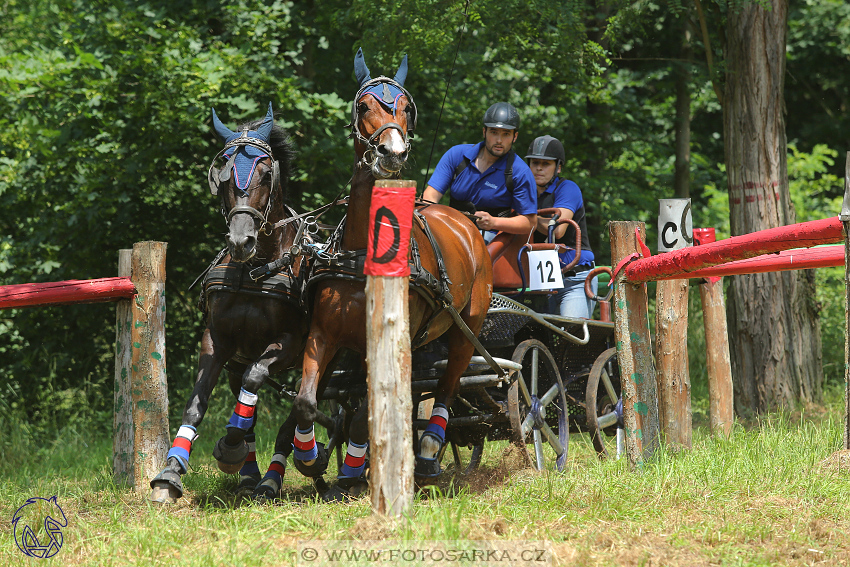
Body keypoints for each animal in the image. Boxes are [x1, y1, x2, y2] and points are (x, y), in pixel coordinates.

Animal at [150, 104, 308, 504]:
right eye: (222, 175)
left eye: (265, 174)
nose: (240, 241)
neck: (256, 269)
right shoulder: (219, 340)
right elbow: (197, 402)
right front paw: (171, 471)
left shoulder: (290, 342)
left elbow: (256, 378)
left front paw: (229, 447)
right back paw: (251, 475)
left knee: (298, 411)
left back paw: (275, 477)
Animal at [290, 46, 494, 494]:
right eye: (364, 105)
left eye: (405, 108)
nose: (393, 153)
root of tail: (464, 222)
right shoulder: (323, 334)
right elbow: (308, 401)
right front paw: (311, 458)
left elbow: (364, 412)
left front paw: (353, 470)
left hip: (466, 329)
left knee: (447, 388)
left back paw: (429, 454)